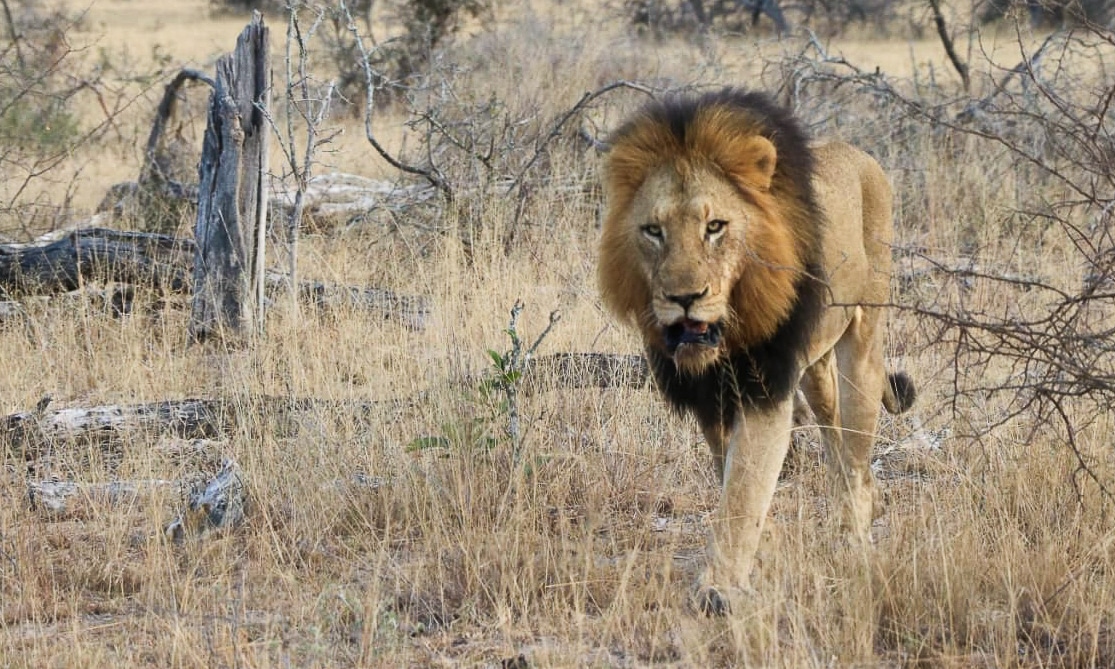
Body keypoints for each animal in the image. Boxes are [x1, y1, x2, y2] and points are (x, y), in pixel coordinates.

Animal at [598, 89, 915, 614]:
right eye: (653, 231)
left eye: (715, 227)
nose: (685, 297)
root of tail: (859, 153)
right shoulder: (711, 400)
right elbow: (730, 480)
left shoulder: (765, 392)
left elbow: (744, 491)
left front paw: (718, 590)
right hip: (815, 370)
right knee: (836, 443)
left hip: (863, 346)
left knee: (854, 451)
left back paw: (856, 537)